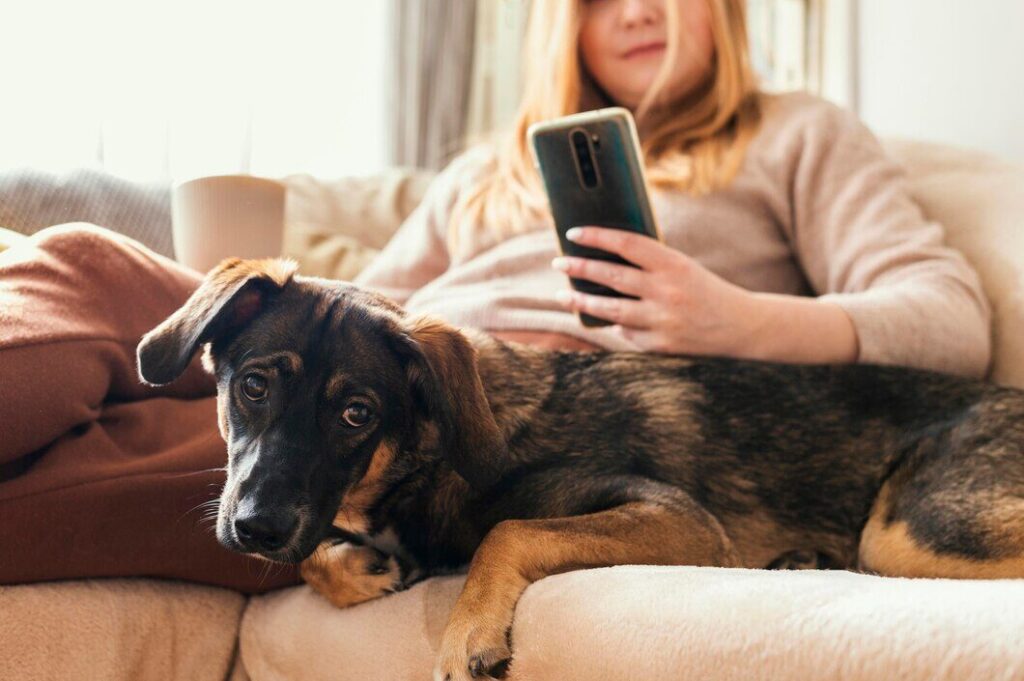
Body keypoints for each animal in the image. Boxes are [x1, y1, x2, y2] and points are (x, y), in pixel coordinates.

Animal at [136, 256, 1024, 679]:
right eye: (252, 387)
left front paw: (466, 632)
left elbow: (510, 529)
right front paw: (356, 568)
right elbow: (327, 558)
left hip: (913, 526)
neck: (430, 455)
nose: (255, 528)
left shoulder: (676, 517)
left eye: (357, 413)